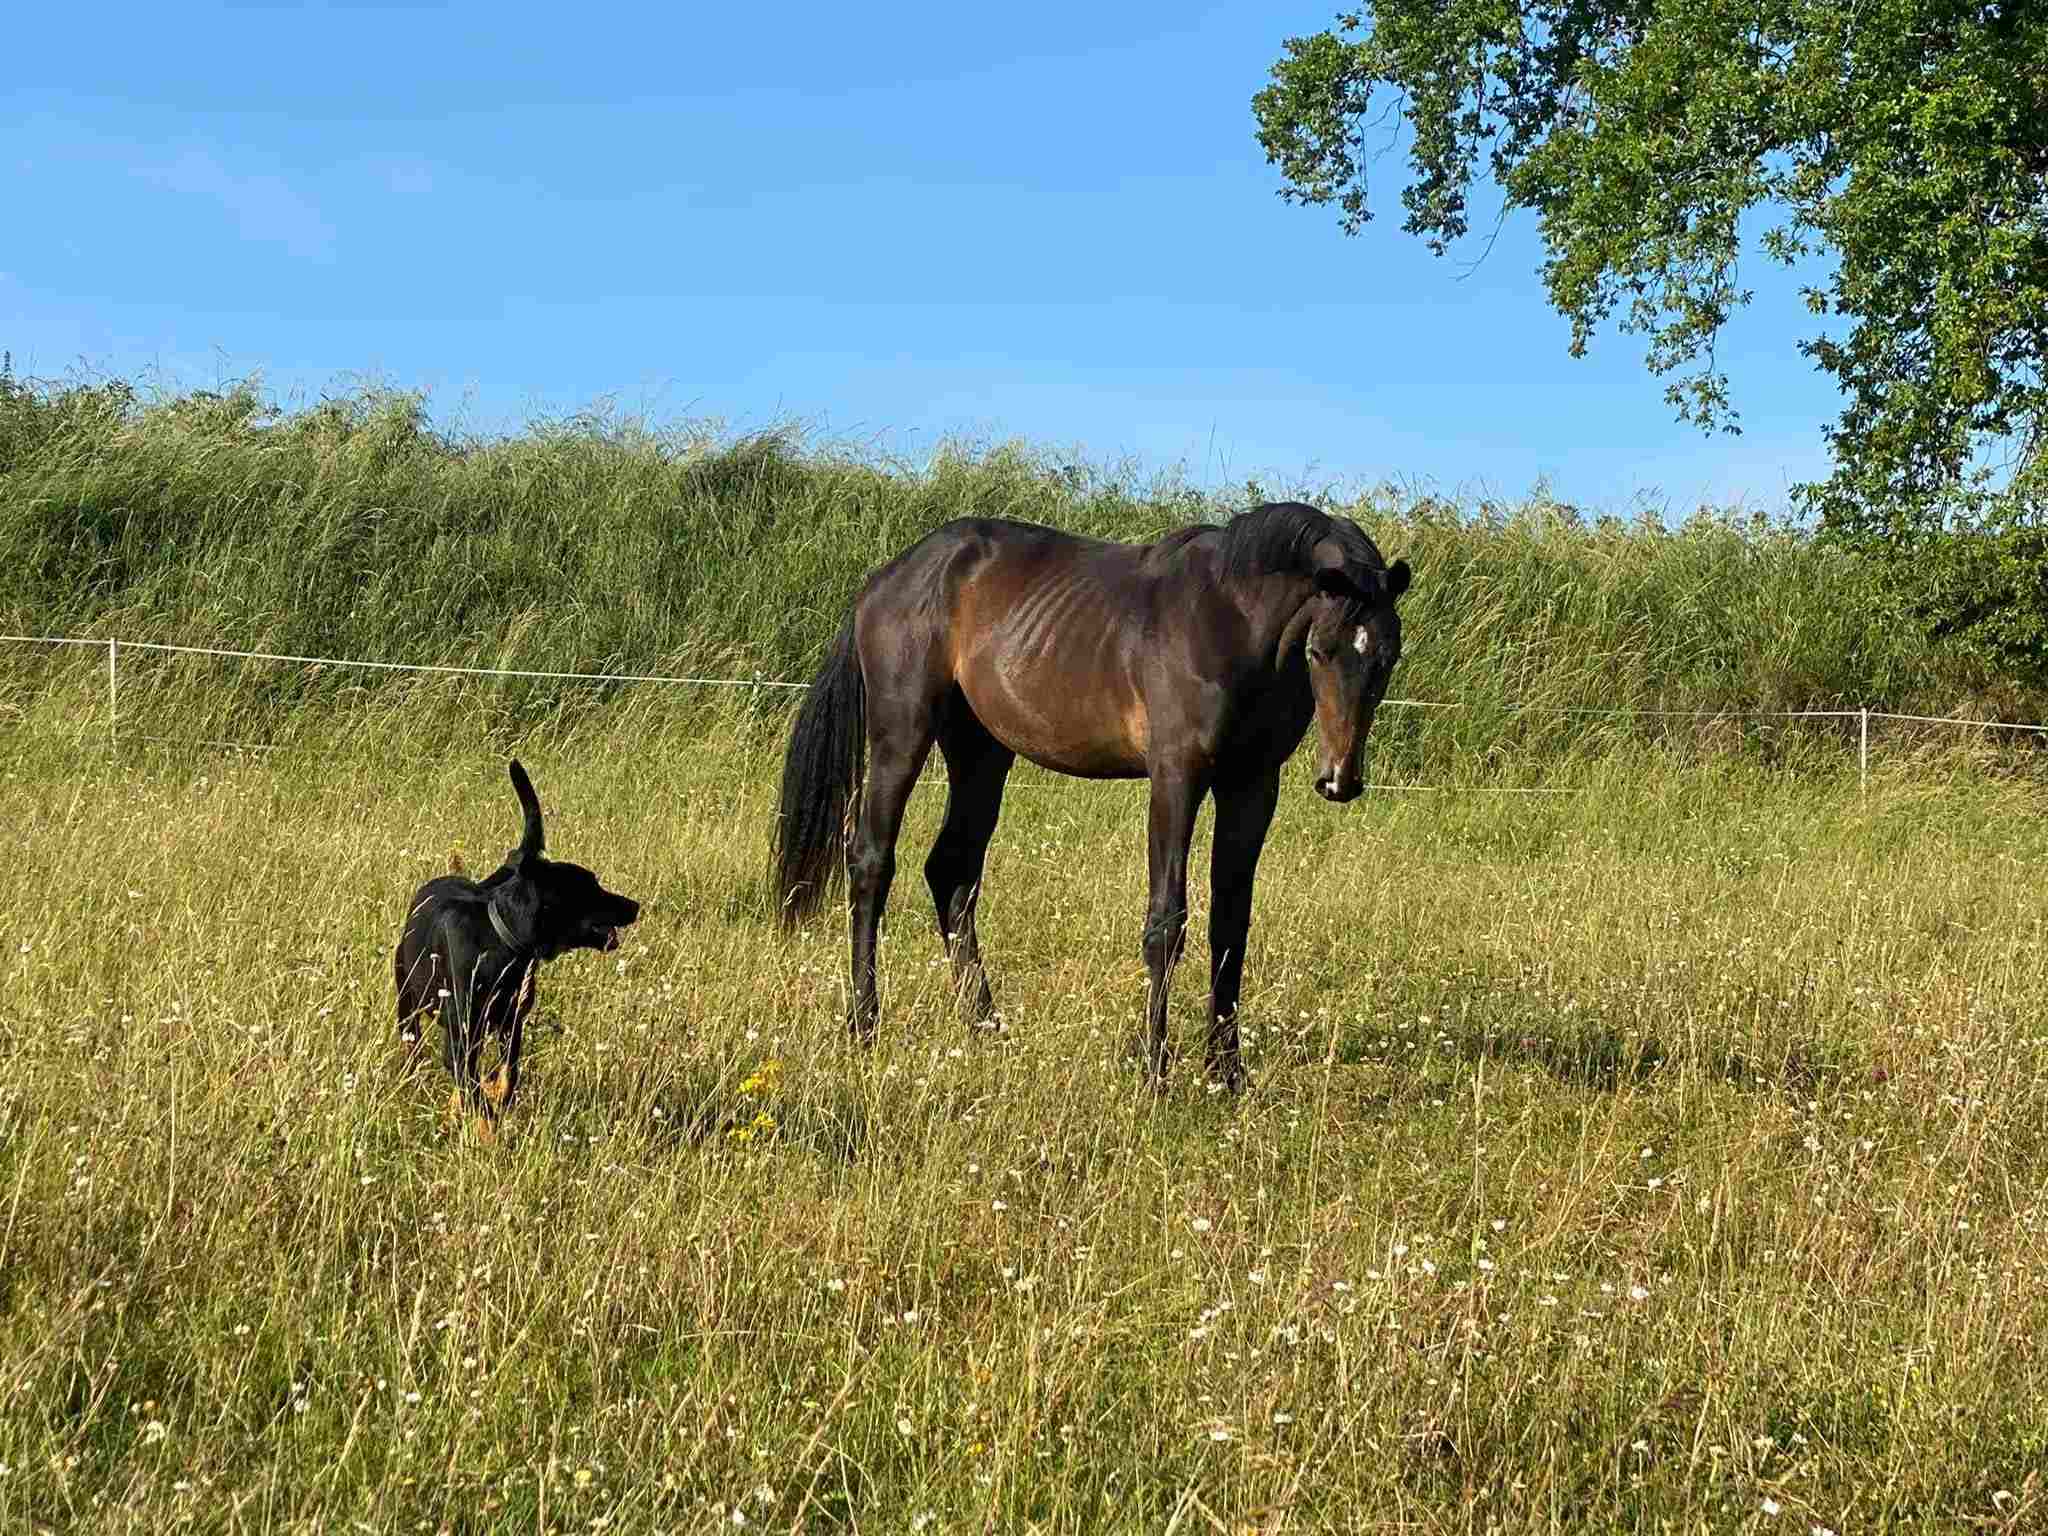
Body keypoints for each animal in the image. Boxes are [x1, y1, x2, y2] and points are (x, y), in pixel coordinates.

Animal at [772, 500, 1412, 1090]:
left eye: (1386, 657)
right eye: (1319, 651)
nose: (1340, 780)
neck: (1230, 620)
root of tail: (885, 579)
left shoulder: (1252, 785)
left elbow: (1231, 925)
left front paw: (1227, 1076)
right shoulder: (1177, 776)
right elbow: (1167, 922)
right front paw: (1156, 1074)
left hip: (981, 751)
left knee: (952, 871)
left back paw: (985, 1027)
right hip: (901, 733)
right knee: (871, 862)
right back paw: (864, 1025)